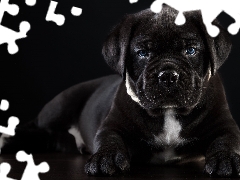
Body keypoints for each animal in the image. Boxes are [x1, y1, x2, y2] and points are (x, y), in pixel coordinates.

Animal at [1, 5, 240, 177]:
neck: (168, 113)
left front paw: (226, 158)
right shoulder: (111, 125)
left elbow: (226, 140)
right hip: (60, 107)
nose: (168, 75)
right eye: (142, 53)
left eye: (190, 50)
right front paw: (105, 158)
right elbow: (109, 140)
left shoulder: (225, 125)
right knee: (36, 128)